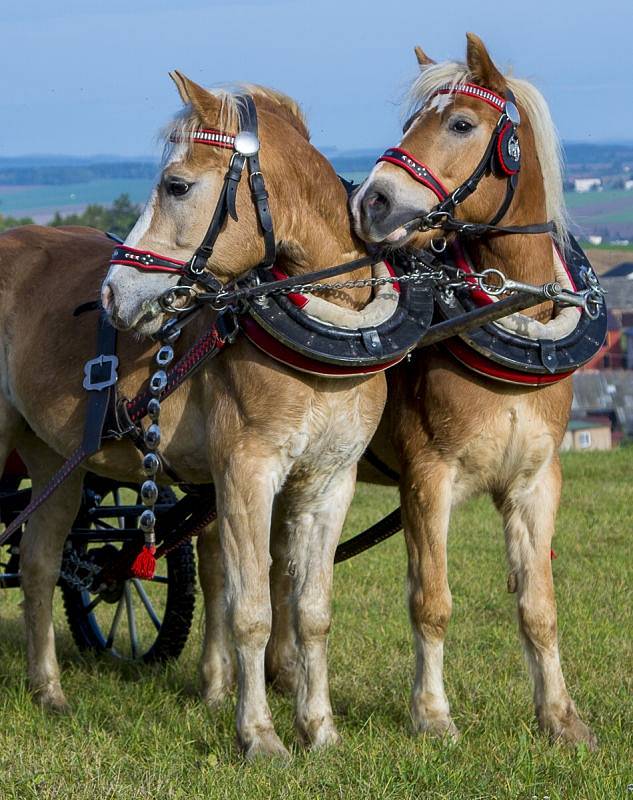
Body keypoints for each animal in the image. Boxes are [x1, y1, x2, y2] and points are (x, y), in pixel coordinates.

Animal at [0, 73, 386, 756]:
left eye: (177, 185)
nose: (112, 293)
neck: (329, 339)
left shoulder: (329, 481)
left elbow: (311, 612)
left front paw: (319, 729)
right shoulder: (246, 473)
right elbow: (251, 609)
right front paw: (260, 736)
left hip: (55, 459)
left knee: (41, 565)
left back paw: (48, 689)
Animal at [346, 34, 596, 748]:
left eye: (461, 124)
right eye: (411, 123)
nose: (371, 203)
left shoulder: (535, 482)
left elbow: (539, 605)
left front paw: (560, 718)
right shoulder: (427, 479)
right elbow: (431, 600)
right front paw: (432, 716)